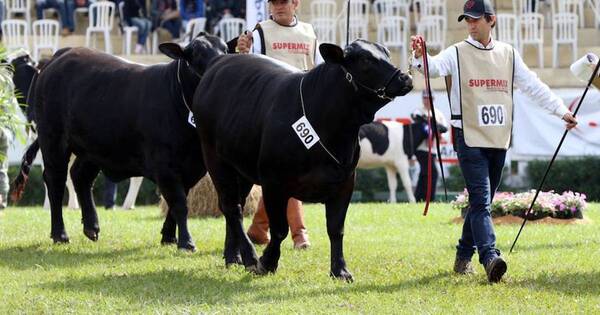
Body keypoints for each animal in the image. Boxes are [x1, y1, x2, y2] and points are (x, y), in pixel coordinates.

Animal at [14, 34, 230, 252]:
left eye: (226, 49)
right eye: (196, 55)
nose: (219, 66)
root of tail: (61, 54)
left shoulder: (192, 167)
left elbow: (176, 204)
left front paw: (169, 237)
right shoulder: (165, 166)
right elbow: (179, 204)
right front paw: (186, 242)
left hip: (92, 147)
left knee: (80, 176)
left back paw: (91, 226)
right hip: (53, 138)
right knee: (55, 180)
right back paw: (60, 234)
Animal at [192, 39, 412, 282]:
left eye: (386, 53)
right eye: (365, 60)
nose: (405, 78)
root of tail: (220, 61)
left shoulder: (345, 182)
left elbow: (336, 229)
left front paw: (340, 270)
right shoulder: (273, 182)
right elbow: (279, 229)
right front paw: (267, 262)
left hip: (242, 168)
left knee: (233, 208)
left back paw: (233, 257)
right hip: (215, 159)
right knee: (232, 208)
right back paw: (250, 257)